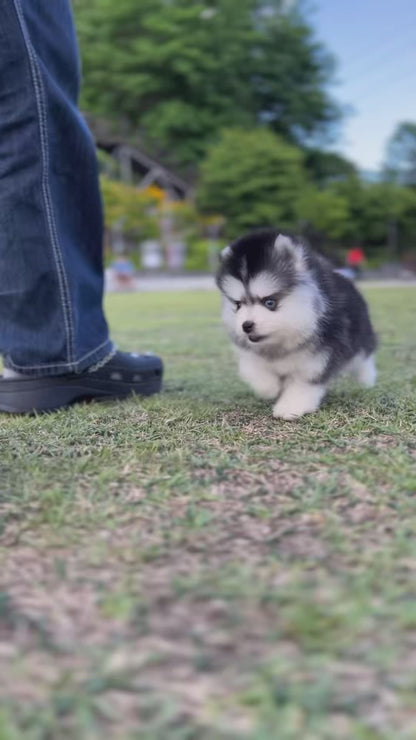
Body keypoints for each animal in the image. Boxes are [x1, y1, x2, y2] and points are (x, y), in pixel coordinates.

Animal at [218, 228, 376, 420]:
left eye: (269, 302)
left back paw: (366, 381)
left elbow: (304, 382)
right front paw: (269, 387)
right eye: (238, 304)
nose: (246, 325)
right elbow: (254, 368)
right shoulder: (249, 352)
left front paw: (291, 406)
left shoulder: (322, 353)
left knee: (364, 360)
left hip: (360, 339)